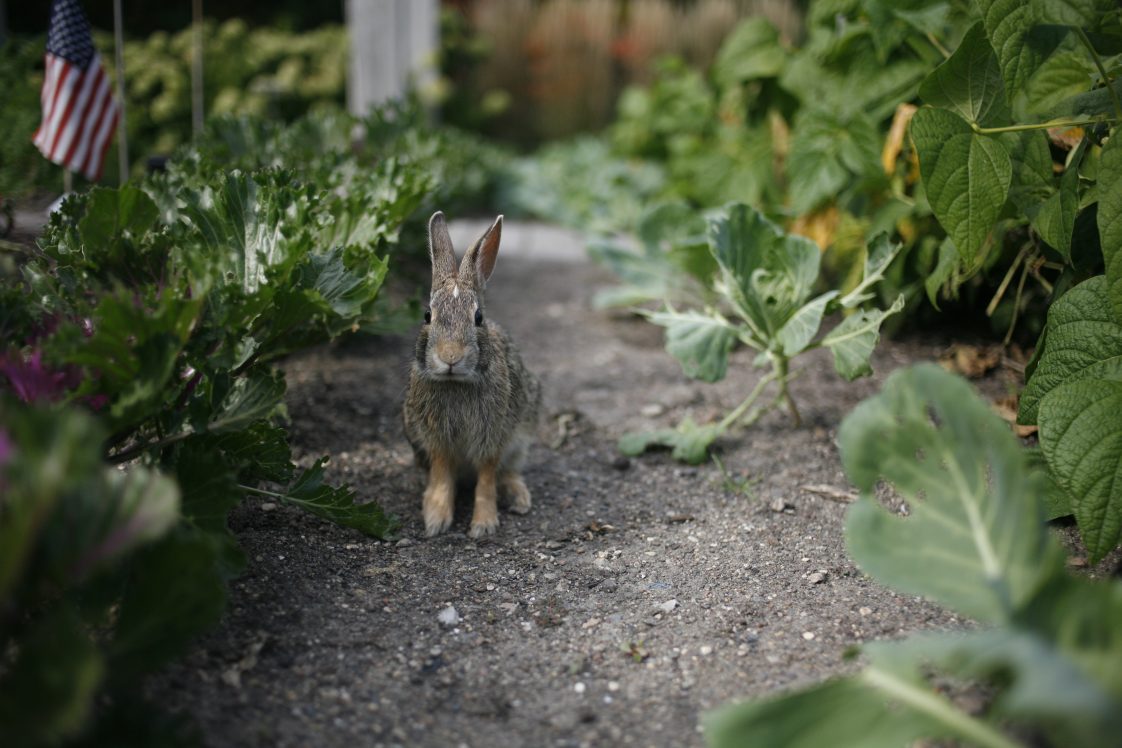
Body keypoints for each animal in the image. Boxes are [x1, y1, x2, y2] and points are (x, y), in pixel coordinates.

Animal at [402, 211, 542, 538]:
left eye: (478, 318)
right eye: (427, 316)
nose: (449, 357)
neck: (456, 382)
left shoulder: (493, 435)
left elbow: (487, 477)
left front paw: (484, 524)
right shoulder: (436, 439)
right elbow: (443, 474)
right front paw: (435, 519)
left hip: (522, 438)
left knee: (508, 471)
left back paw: (518, 498)